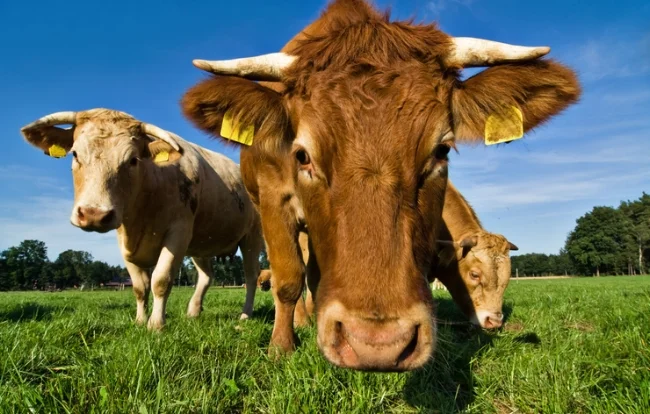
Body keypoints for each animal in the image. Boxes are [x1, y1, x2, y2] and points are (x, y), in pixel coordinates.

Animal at [19, 108, 264, 329]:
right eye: (75, 154)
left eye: (133, 160)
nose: (93, 214)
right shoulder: (125, 242)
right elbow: (139, 287)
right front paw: (139, 321)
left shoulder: (178, 233)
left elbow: (160, 280)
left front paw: (156, 324)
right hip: (201, 244)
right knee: (206, 276)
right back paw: (193, 312)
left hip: (252, 237)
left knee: (251, 276)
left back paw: (245, 315)